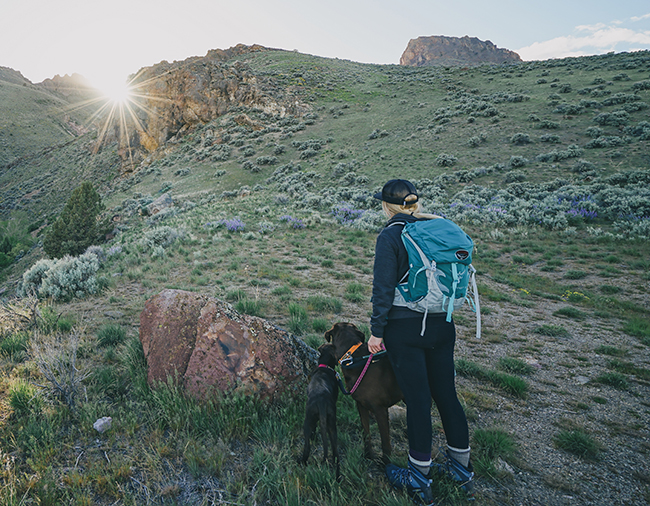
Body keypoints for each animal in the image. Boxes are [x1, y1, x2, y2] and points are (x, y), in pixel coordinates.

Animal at [322, 324, 400, 462]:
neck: (352, 358)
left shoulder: (380, 410)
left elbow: (385, 442)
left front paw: (385, 463)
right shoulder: (361, 405)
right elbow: (366, 433)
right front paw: (368, 455)